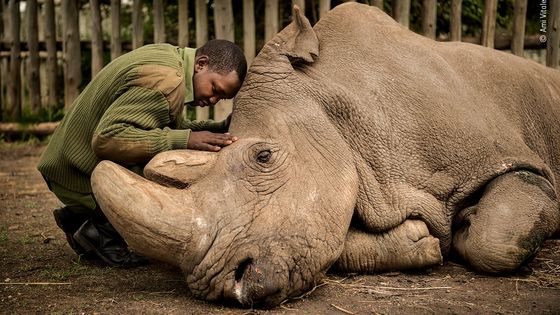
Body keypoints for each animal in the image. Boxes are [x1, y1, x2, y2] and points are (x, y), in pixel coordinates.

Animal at [91, 2, 560, 308]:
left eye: (264, 157)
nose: (226, 285)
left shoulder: (510, 159)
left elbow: (495, 238)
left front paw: (466, 226)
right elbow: (333, 241)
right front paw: (421, 241)